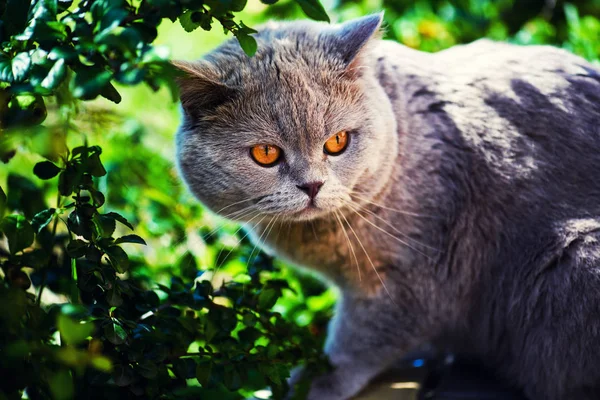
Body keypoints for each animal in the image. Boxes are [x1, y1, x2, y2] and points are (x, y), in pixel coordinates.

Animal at [171, 12, 600, 400]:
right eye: (265, 153)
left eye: (337, 142)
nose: (312, 185)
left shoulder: (415, 275)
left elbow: (361, 338)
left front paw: (316, 381)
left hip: (576, 256)